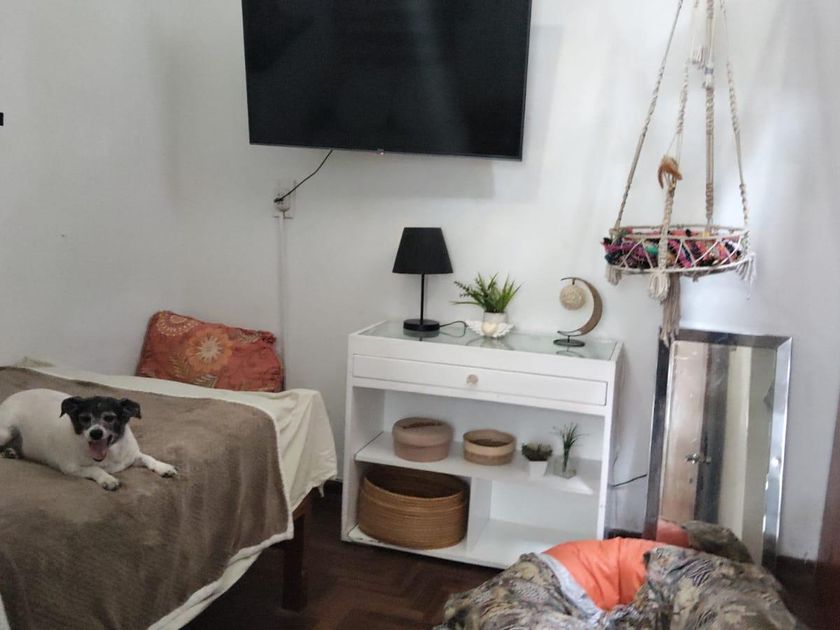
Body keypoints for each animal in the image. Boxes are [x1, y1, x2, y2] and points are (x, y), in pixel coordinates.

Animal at [0, 389, 177, 490]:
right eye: (84, 419)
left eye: (109, 418)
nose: (95, 433)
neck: (109, 455)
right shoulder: (71, 468)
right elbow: (94, 469)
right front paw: (107, 478)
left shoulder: (132, 457)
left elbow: (148, 457)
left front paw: (163, 467)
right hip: (6, 431)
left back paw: (11, 452)